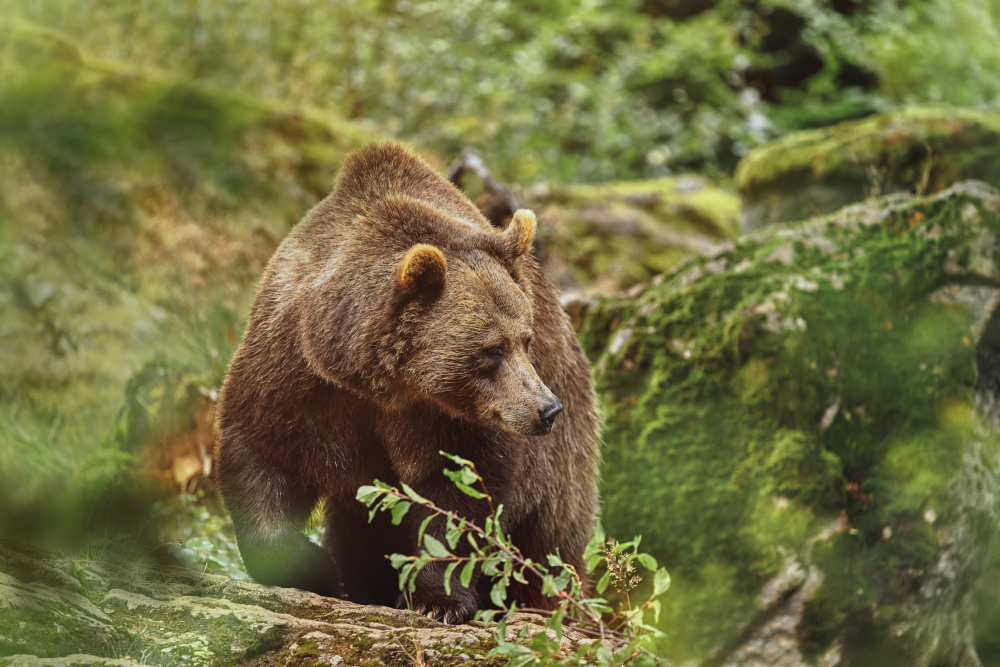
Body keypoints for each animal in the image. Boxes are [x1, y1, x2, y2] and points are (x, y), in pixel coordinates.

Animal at [214, 142, 600, 624]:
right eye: (492, 349)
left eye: (526, 339)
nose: (546, 409)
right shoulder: (296, 371)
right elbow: (259, 451)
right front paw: (318, 569)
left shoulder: (448, 420)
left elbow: (459, 493)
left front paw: (438, 599)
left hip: (561, 468)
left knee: (548, 547)